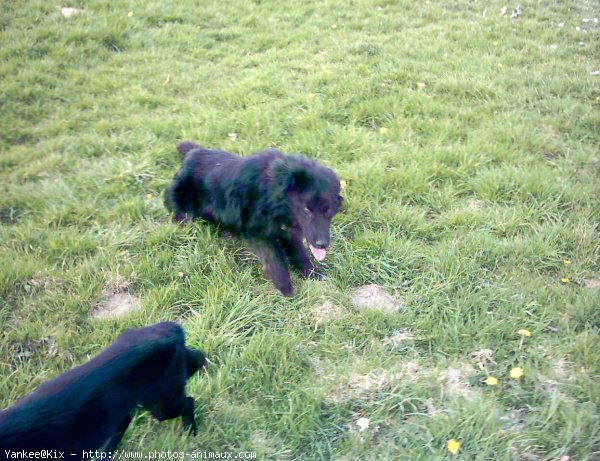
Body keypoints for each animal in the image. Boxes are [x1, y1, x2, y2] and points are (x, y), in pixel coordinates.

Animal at [164, 140, 342, 296]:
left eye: (328, 211)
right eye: (307, 210)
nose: (322, 244)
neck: (272, 195)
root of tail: (192, 153)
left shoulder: (288, 231)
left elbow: (299, 251)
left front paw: (310, 273)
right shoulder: (257, 232)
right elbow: (274, 258)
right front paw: (284, 286)